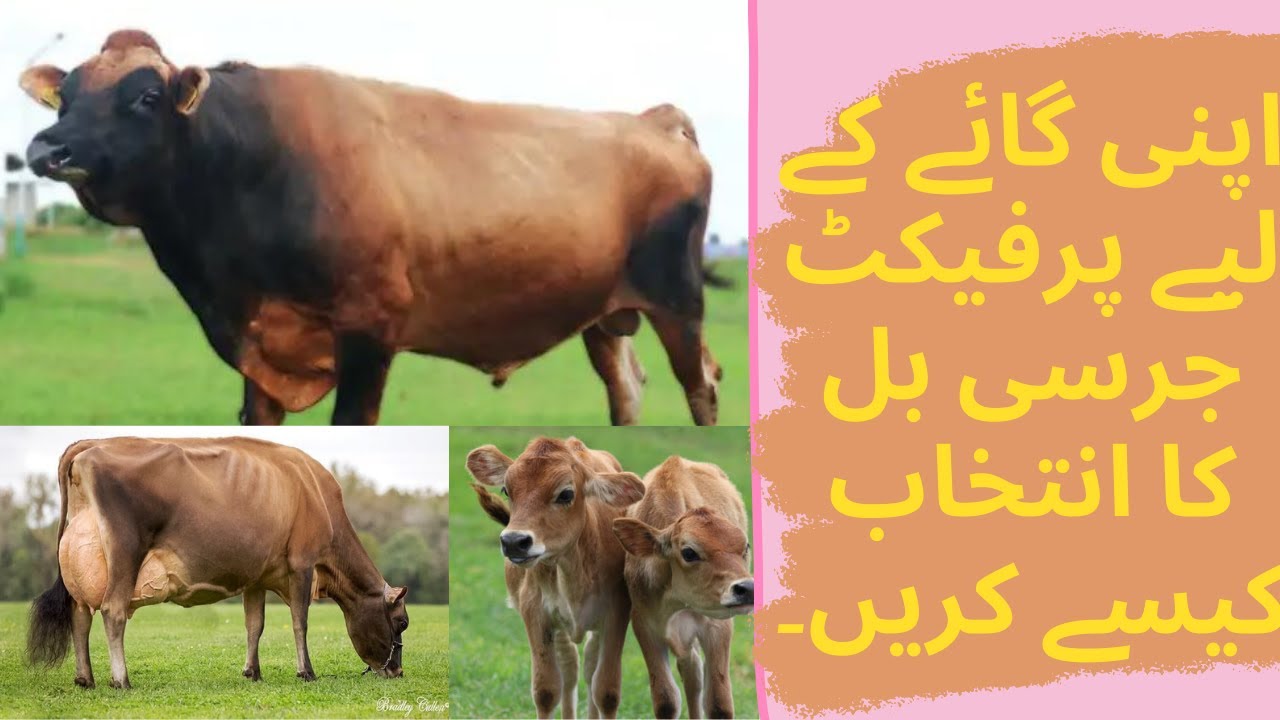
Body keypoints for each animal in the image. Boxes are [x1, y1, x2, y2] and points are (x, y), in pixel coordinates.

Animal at [17, 30, 725, 426]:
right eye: (65, 97)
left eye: (144, 96)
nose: (47, 148)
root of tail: (651, 120)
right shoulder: (257, 344)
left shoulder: (370, 327)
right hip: (602, 313)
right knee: (627, 390)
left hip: (678, 300)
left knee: (702, 386)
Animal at [25, 436, 410, 689]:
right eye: (402, 622)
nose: (397, 672)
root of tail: (90, 444)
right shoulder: (302, 564)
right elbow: (300, 622)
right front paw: (306, 672)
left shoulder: (257, 576)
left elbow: (255, 624)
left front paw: (253, 672)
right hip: (125, 550)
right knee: (112, 611)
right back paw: (121, 680)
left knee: (80, 616)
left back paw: (85, 678)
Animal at [466, 437, 645, 719]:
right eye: (506, 490)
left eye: (566, 494)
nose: (514, 541)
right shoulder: (535, 612)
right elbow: (547, 690)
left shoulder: (617, 611)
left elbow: (606, 691)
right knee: (570, 669)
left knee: (589, 668)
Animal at [612, 456, 753, 719]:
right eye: (689, 552)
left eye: (745, 546)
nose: (747, 588)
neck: (678, 602)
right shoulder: (645, 624)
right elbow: (666, 700)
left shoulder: (718, 626)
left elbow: (718, 704)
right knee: (692, 672)